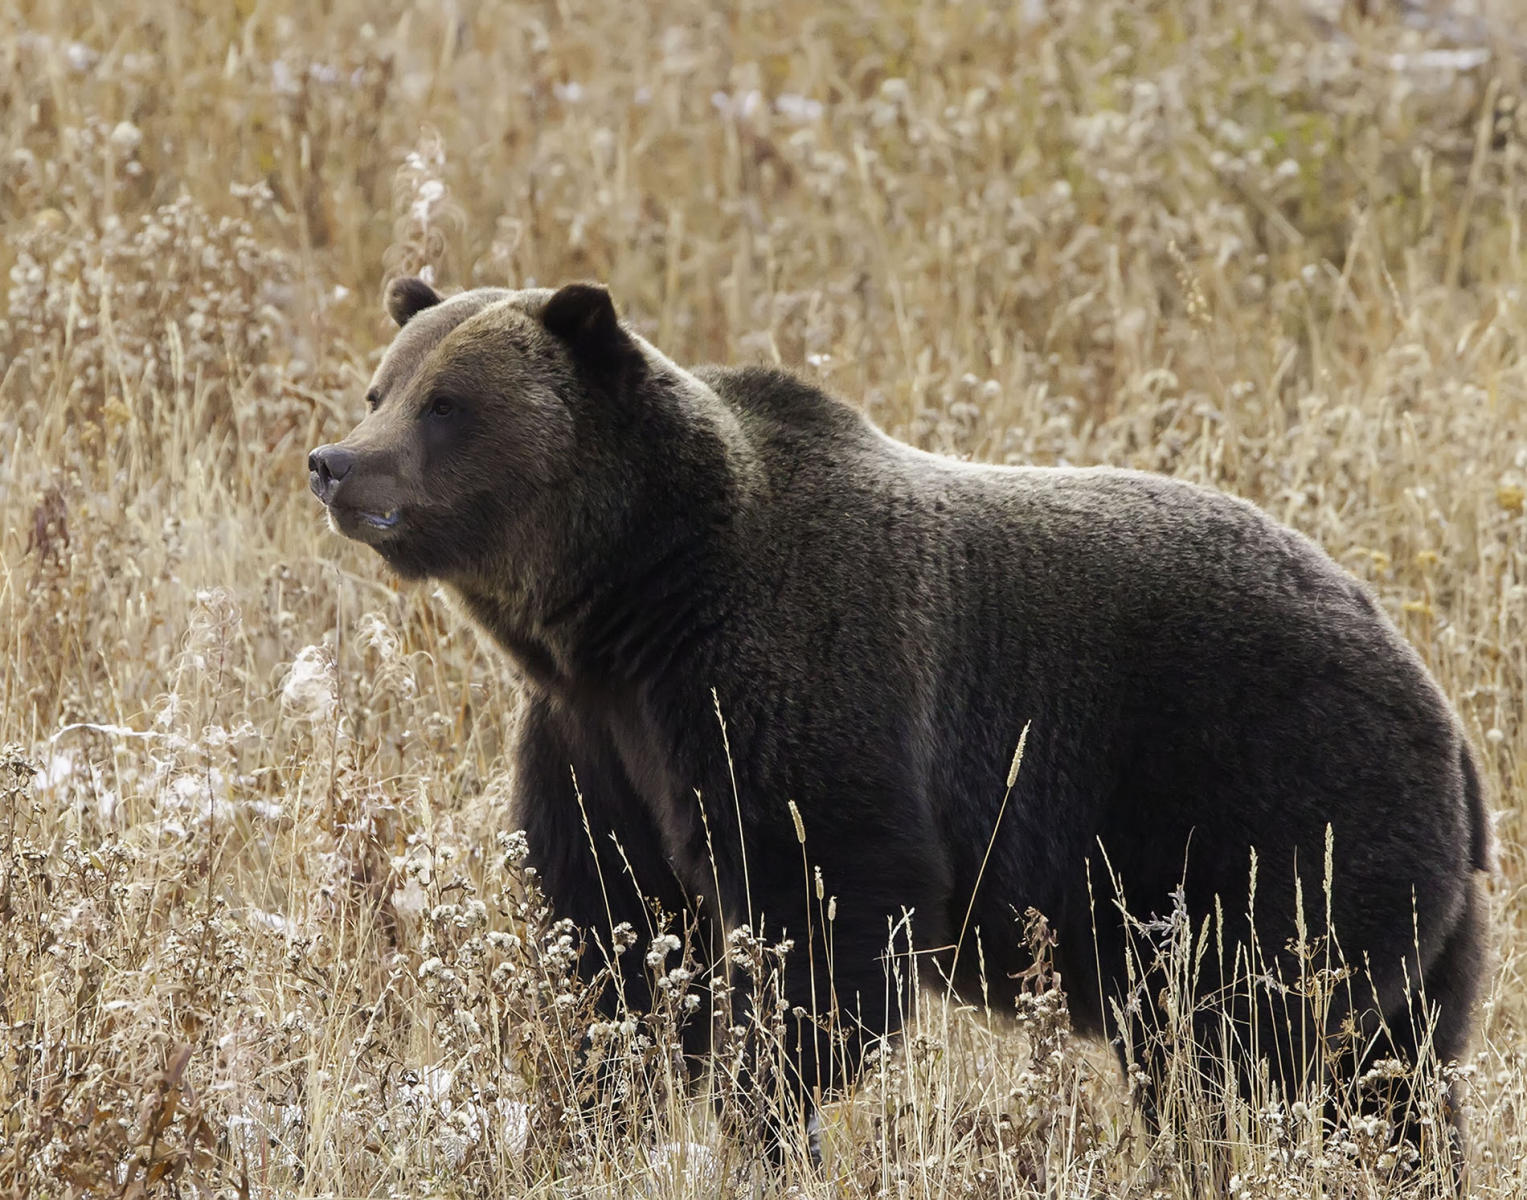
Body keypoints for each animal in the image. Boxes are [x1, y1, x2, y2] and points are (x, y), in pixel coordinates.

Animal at [309, 277, 1490, 1160]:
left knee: (1270, 1042)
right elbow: (614, 926)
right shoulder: (596, 742)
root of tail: (1445, 718)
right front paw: (610, 1089)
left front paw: (765, 1103)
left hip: (1276, 812)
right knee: (1392, 1076)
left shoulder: (793, 689)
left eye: (446, 404)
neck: (632, 604)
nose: (335, 463)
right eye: (381, 386)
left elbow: (819, 919)